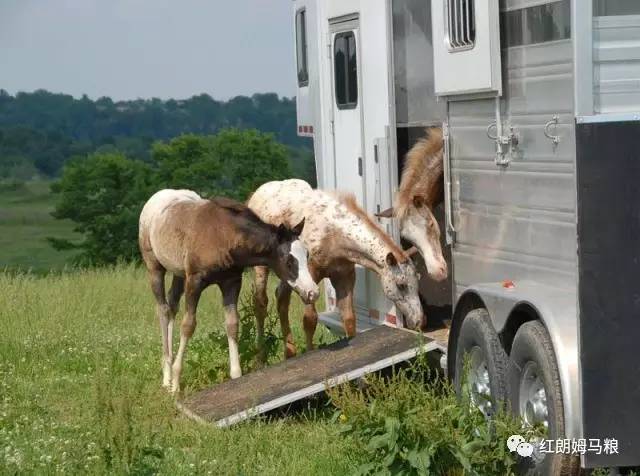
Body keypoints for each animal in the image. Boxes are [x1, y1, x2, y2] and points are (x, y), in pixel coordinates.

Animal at [141, 188, 320, 392]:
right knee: (163, 310)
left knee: (172, 306)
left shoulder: (231, 282)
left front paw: (236, 374)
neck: (223, 235)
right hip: (155, 267)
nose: (312, 292)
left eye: (307, 255)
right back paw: (167, 377)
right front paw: (176, 383)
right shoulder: (195, 281)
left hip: (179, 273)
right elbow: (188, 325)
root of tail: (158, 196)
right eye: (289, 261)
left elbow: (232, 324)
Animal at [248, 180, 422, 358]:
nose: (419, 321)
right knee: (260, 302)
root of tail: (256, 194)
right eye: (401, 285)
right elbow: (310, 319)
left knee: (281, 297)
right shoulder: (311, 275)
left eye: (418, 282)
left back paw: (289, 352)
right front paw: (310, 352)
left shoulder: (344, 276)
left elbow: (349, 319)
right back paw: (261, 356)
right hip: (262, 267)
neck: (334, 235)